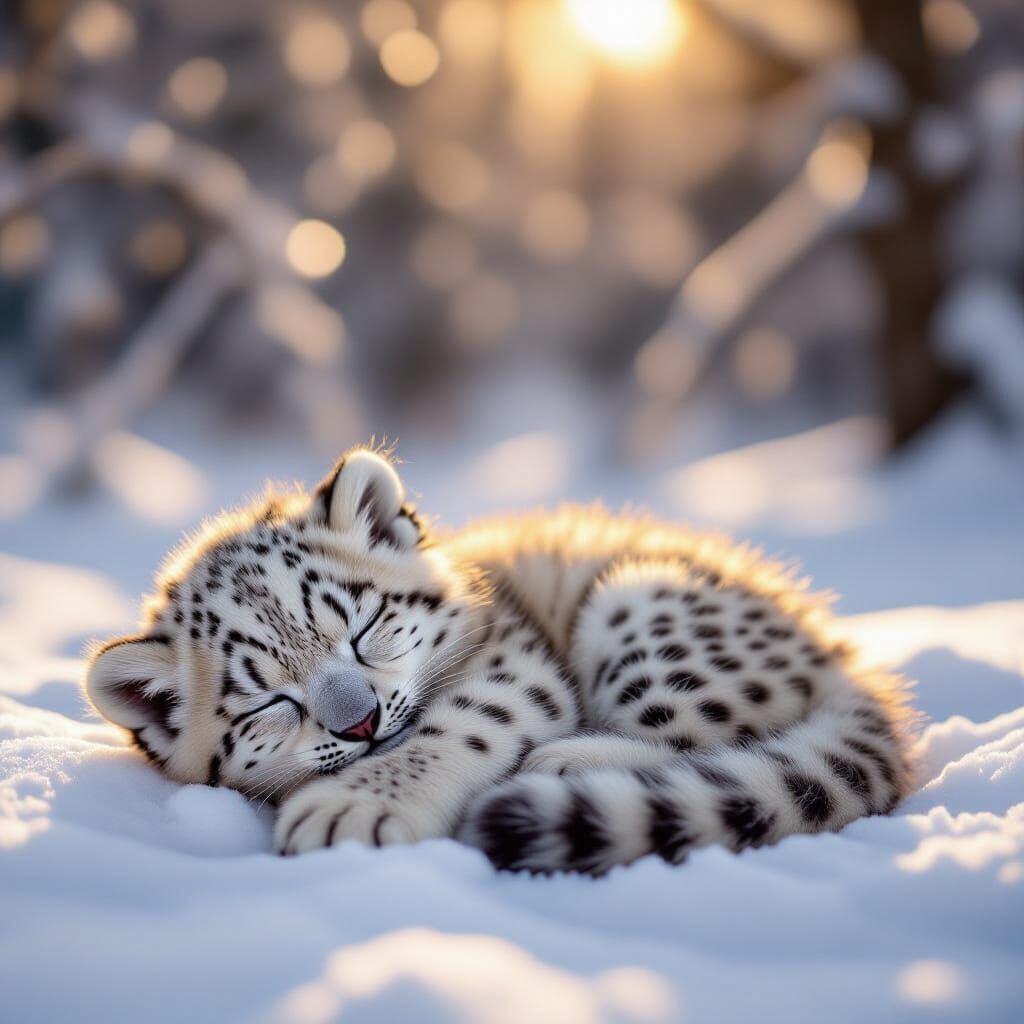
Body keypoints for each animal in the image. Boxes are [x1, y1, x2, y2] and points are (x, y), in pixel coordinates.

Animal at [85, 444, 916, 874]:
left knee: (703, 735)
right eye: (268, 701)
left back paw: (568, 761)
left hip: (641, 613)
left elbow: (458, 726)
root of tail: (840, 653)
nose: (360, 725)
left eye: (364, 625)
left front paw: (349, 807)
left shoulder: (514, 663)